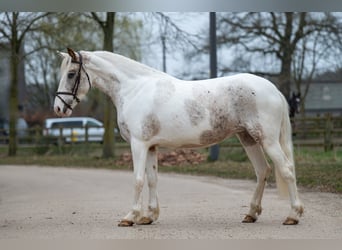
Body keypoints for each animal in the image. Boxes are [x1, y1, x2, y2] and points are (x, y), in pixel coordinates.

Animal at [54, 48, 304, 227]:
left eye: (71, 74)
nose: (58, 108)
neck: (134, 90)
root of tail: (273, 90)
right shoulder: (151, 146)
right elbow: (153, 179)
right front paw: (148, 216)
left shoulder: (138, 144)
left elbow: (138, 180)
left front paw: (130, 217)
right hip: (248, 138)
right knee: (262, 171)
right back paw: (251, 214)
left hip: (267, 140)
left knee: (286, 170)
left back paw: (293, 215)